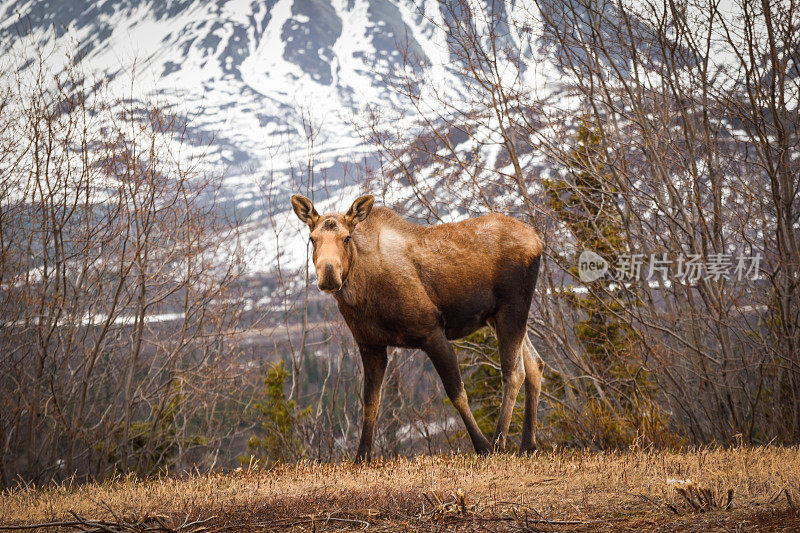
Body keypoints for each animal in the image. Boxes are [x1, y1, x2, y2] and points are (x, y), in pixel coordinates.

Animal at [290, 193, 548, 460]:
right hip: (499, 317)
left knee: (514, 372)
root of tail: (537, 240)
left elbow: (457, 393)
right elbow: (370, 403)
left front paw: (482, 446)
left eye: (347, 237)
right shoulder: (370, 344)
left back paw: (498, 442)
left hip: (511, 309)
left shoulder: (432, 332)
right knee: (535, 364)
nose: (329, 275)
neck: (361, 294)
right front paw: (362, 457)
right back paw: (528, 445)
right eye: (312, 239)